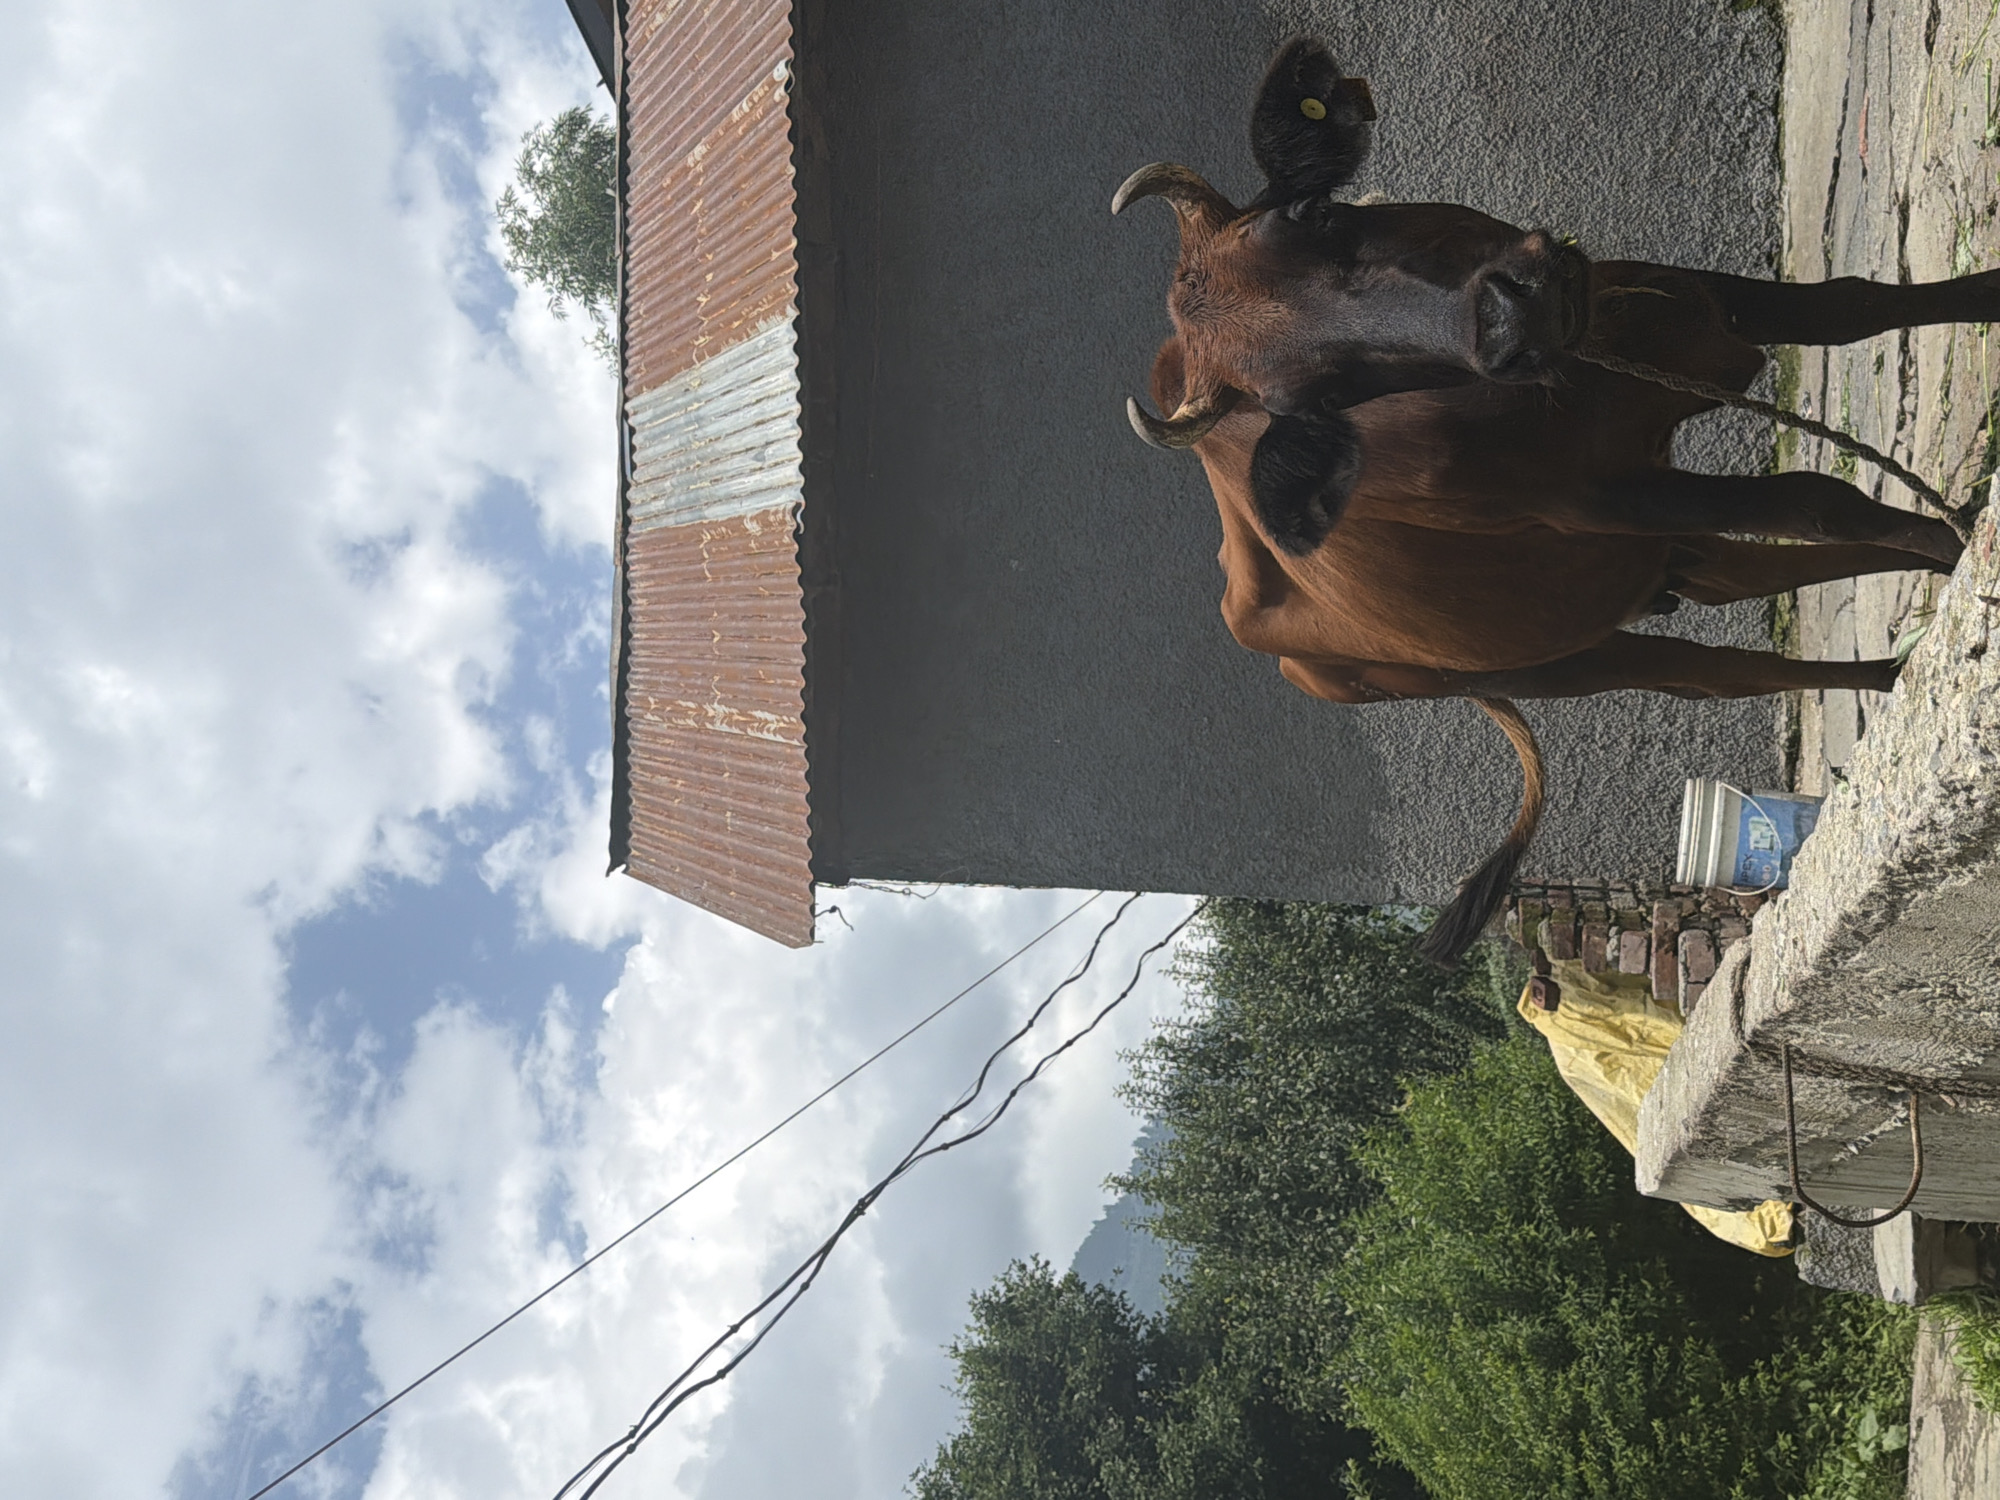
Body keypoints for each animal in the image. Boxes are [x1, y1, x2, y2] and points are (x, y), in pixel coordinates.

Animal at [1118, 37, 1993, 964]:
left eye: (1318, 212)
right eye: (1317, 397)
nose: (1509, 319)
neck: (1588, 368)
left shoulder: (1675, 298)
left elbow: (1859, 306)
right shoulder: (1611, 497)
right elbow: (1815, 500)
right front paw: (1965, 552)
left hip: (1639, 567)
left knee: (1751, 582)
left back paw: (1892, 669)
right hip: (1573, 659)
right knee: (1725, 671)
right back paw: (1895, 667)